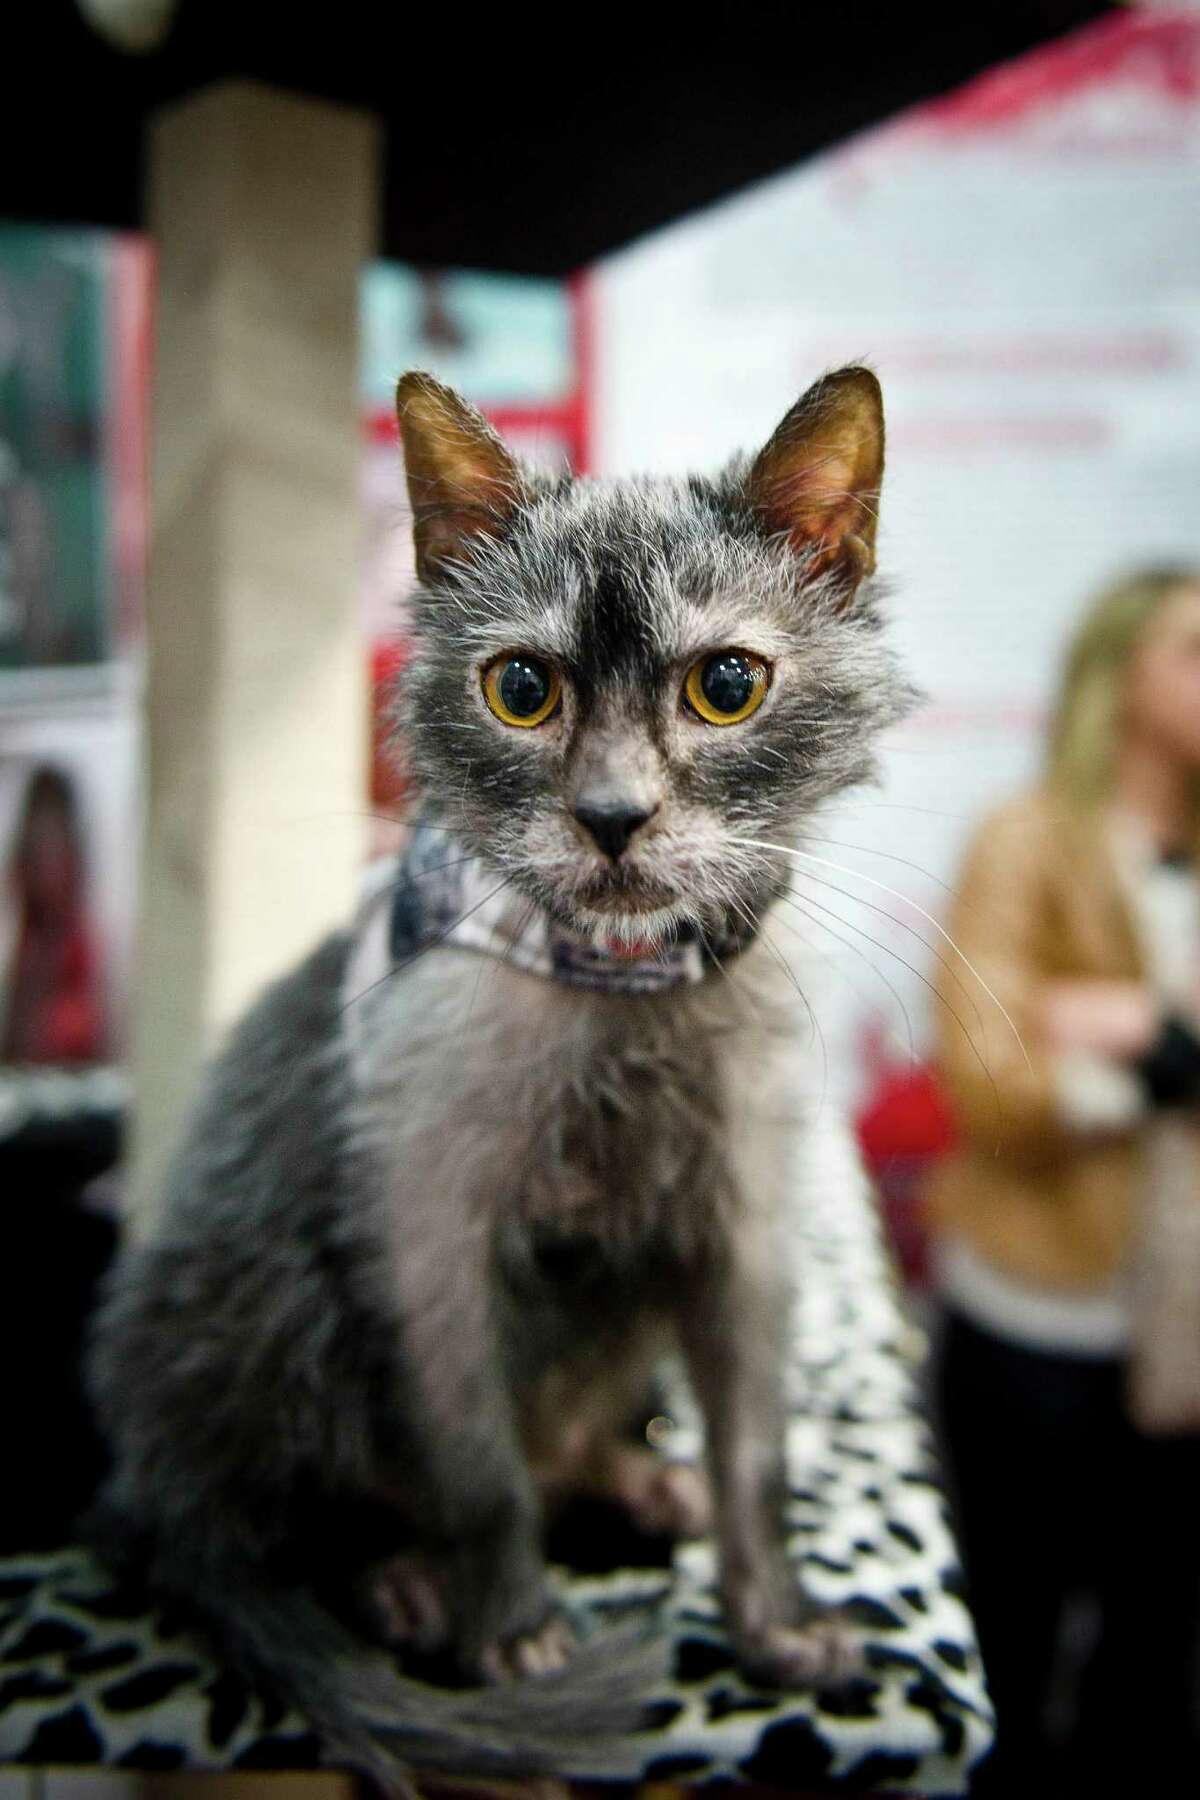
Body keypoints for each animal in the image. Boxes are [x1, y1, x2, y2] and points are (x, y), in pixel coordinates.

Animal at [86, 365, 910, 1785]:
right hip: (271, 1278)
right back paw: (404, 1585)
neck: (623, 988)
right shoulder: (426, 1229)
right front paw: (514, 1629)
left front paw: (776, 1621)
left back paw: (643, 1481)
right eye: (522, 689)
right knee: (284, 1523)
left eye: (728, 685)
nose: (614, 818)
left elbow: (755, 1449)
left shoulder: (745, 1229)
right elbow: (476, 1463)